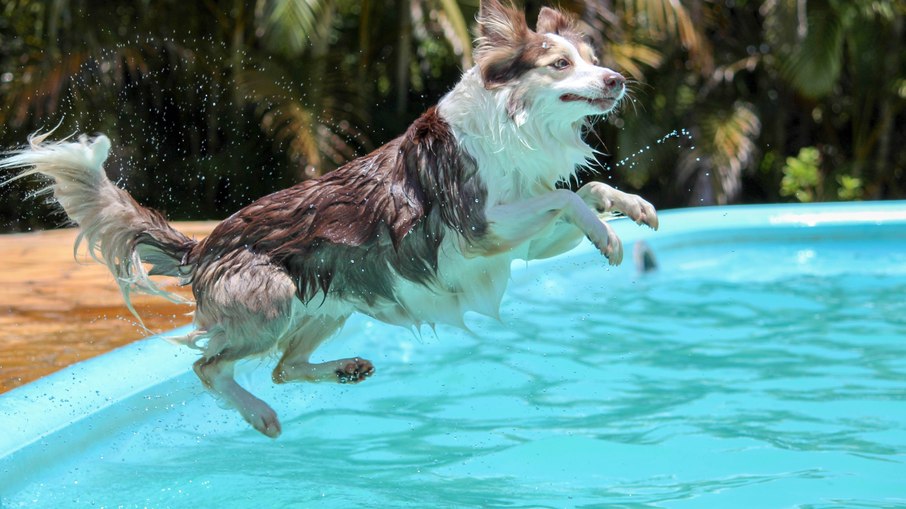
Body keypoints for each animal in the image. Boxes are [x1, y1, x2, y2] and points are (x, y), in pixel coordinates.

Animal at [0, 0, 656, 436]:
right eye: (559, 63)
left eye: (593, 58)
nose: (617, 79)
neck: (515, 125)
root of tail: (202, 245)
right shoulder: (479, 230)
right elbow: (565, 197)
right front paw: (609, 237)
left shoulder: (516, 243)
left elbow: (586, 188)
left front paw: (631, 210)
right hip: (270, 301)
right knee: (208, 364)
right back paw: (260, 415)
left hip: (331, 302)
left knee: (283, 368)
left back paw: (346, 371)